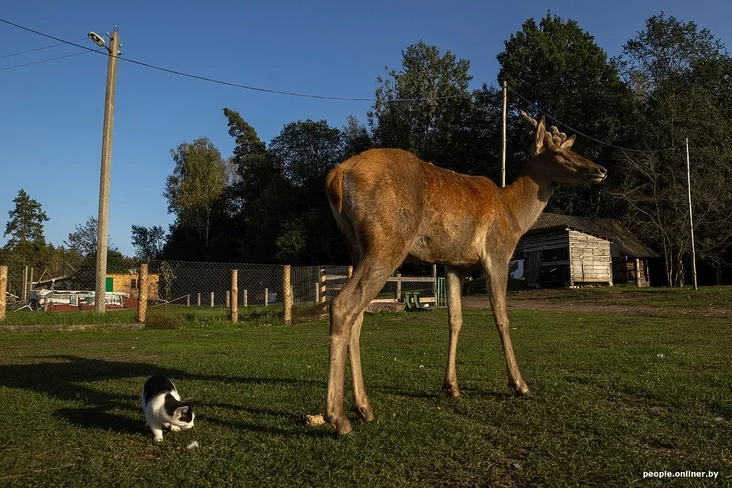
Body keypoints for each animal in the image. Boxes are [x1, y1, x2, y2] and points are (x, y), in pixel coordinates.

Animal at [324, 111, 608, 434]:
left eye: (572, 149)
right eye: (559, 153)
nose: (601, 169)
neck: (514, 214)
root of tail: (335, 177)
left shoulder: (454, 264)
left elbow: (455, 320)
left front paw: (451, 386)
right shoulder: (497, 252)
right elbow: (502, 318)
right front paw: (519, 384)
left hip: (356, 246)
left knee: (357, 315)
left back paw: (363, 407)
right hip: (389, 240)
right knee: (343, 305)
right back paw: (338, 417)